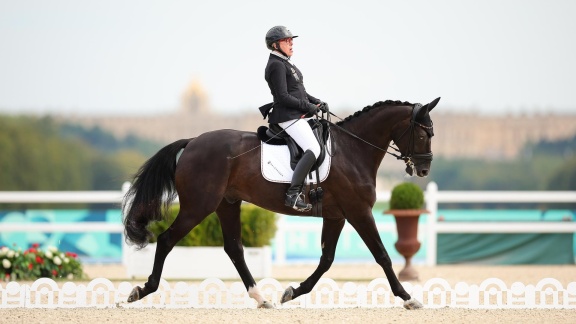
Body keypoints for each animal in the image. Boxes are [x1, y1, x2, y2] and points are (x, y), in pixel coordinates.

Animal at [122, 98, 440, 308]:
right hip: (198, 206)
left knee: (234, 249)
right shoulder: (359, 212)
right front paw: (408, 298)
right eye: (423, 133)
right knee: (166, 240)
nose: (425, 169)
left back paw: (261, 298)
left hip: (227, 204)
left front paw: (292, 292)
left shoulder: (336, 216)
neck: (353, 150)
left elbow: (326, 260)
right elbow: (382, 255)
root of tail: (193, 142)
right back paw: (142, 290)